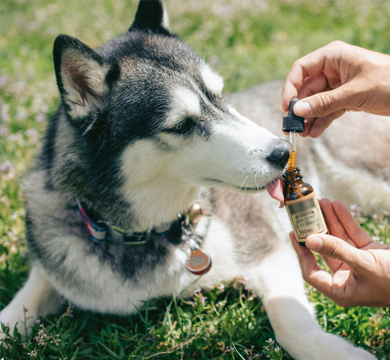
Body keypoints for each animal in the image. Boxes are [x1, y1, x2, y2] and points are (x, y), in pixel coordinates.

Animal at [0, 0, 386, 360]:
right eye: (181, 125)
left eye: (220, 94)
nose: (281, 153)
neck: (146, 234)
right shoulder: (55, 263)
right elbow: (16, 309)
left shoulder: (267, 247)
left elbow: (289, 322)